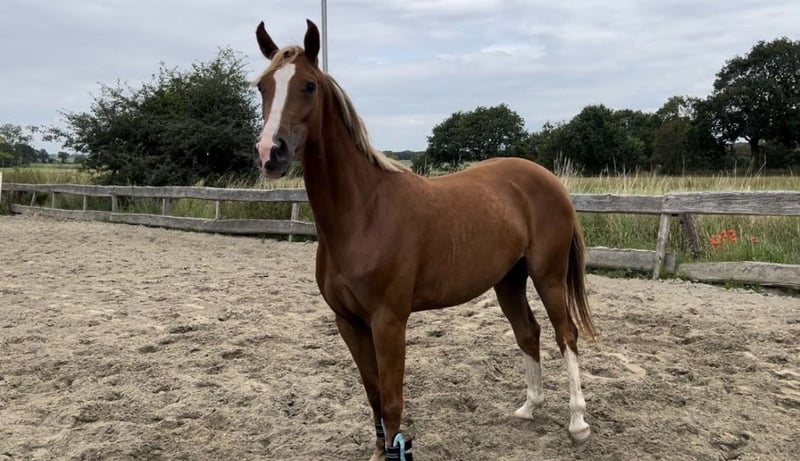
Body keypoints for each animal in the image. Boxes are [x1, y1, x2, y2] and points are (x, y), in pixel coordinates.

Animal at [253, 19, 597, 461]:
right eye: (262, 86)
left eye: (309, 85)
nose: (270, 153)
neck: (363, 212)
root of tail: (550, 180)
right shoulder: (348, 322)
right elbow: (373, 394)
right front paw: (378, 450)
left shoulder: (388, 321)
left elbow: (392, 398)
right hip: (508, 280)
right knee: (528, 332)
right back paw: (529, 407)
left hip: (548, 275)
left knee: (565, 334)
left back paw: (578, 423)